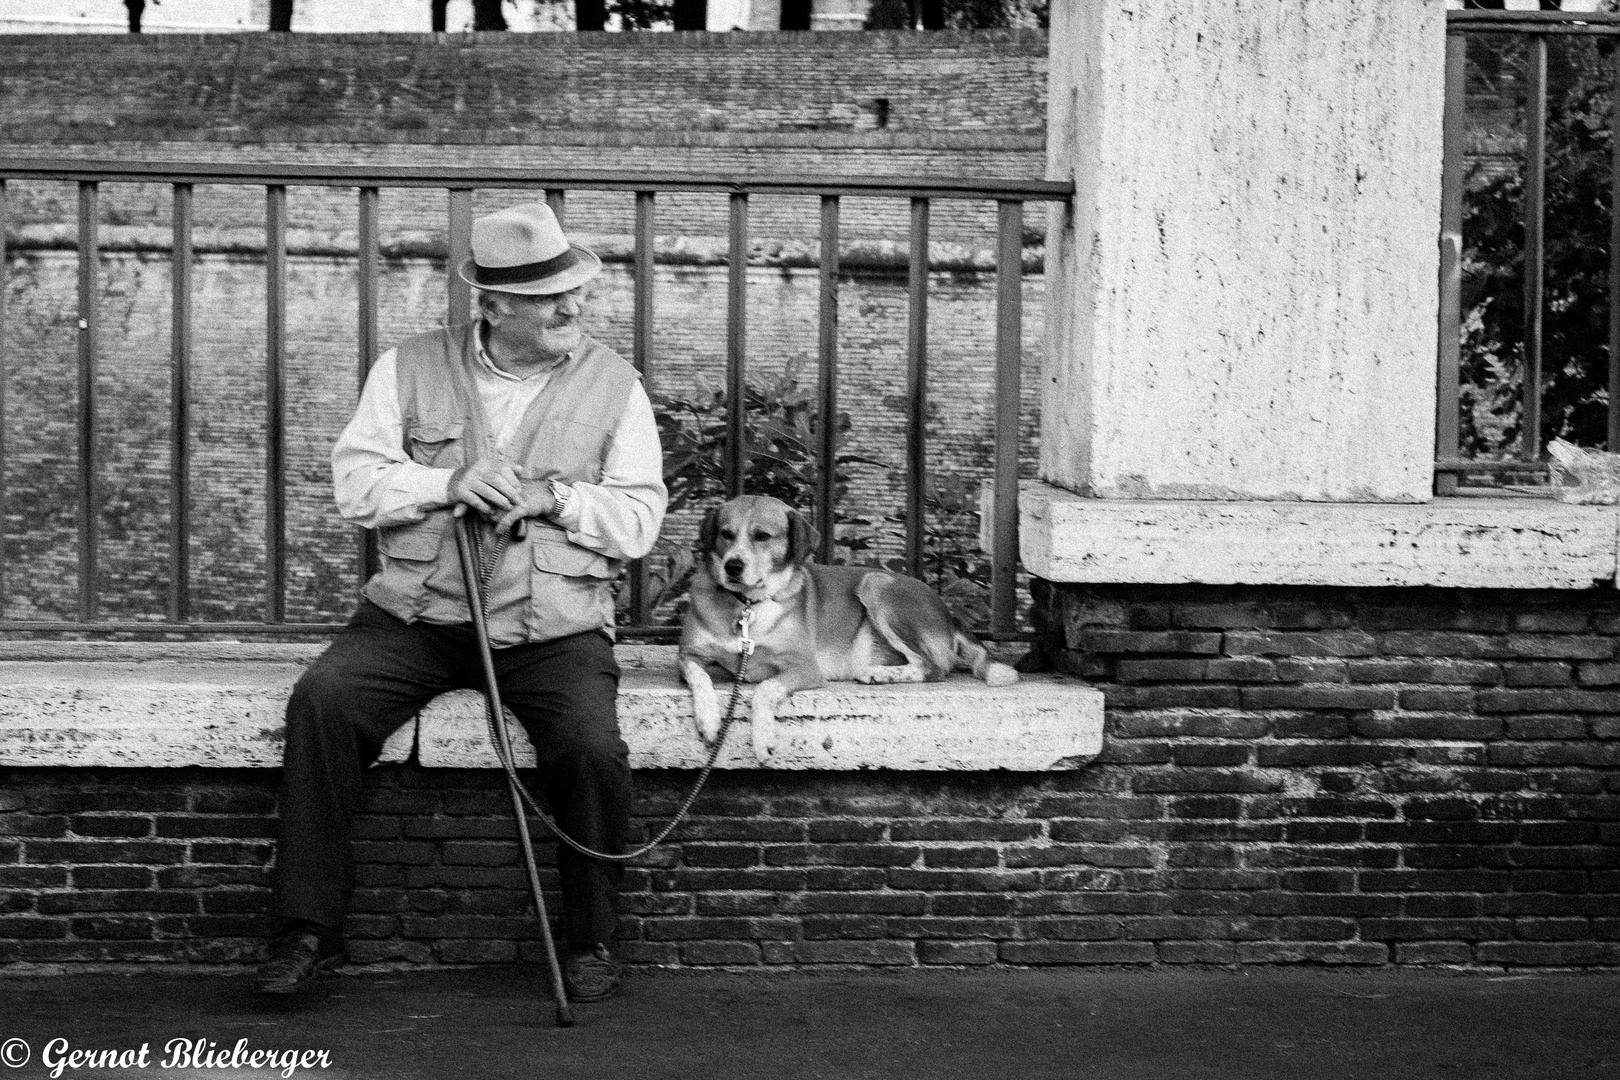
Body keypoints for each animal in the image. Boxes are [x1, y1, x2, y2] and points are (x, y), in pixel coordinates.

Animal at [680, 495, 1010, 764]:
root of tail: (949, 616)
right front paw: (709, 721)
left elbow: (763, 690)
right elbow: (701, 678)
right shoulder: (688, 655)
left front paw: (762, 741)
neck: (747, 605)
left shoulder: (804, 668)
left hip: (875, 584)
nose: (733, 566)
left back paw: (878, 674)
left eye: (762, 536)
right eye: (726, 534)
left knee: (935, 667)